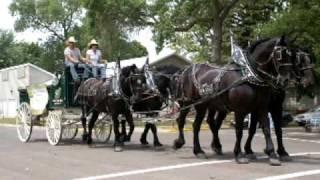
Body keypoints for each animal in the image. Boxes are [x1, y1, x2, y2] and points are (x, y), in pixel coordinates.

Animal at [172, 36, 292, 166]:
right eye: (280, 54)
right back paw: (180, 143)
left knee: (197, 125)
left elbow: (266, 129)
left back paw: (199, 151)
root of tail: (185, 71)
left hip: (203, 106)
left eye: (291, 54)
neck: (249, 76)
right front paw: (239, 154)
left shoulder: (262, 107)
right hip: (188, 102)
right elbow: (239, 131)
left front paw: (272, 154)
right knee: (181, 121)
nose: (285, 80)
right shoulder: (240, 110)